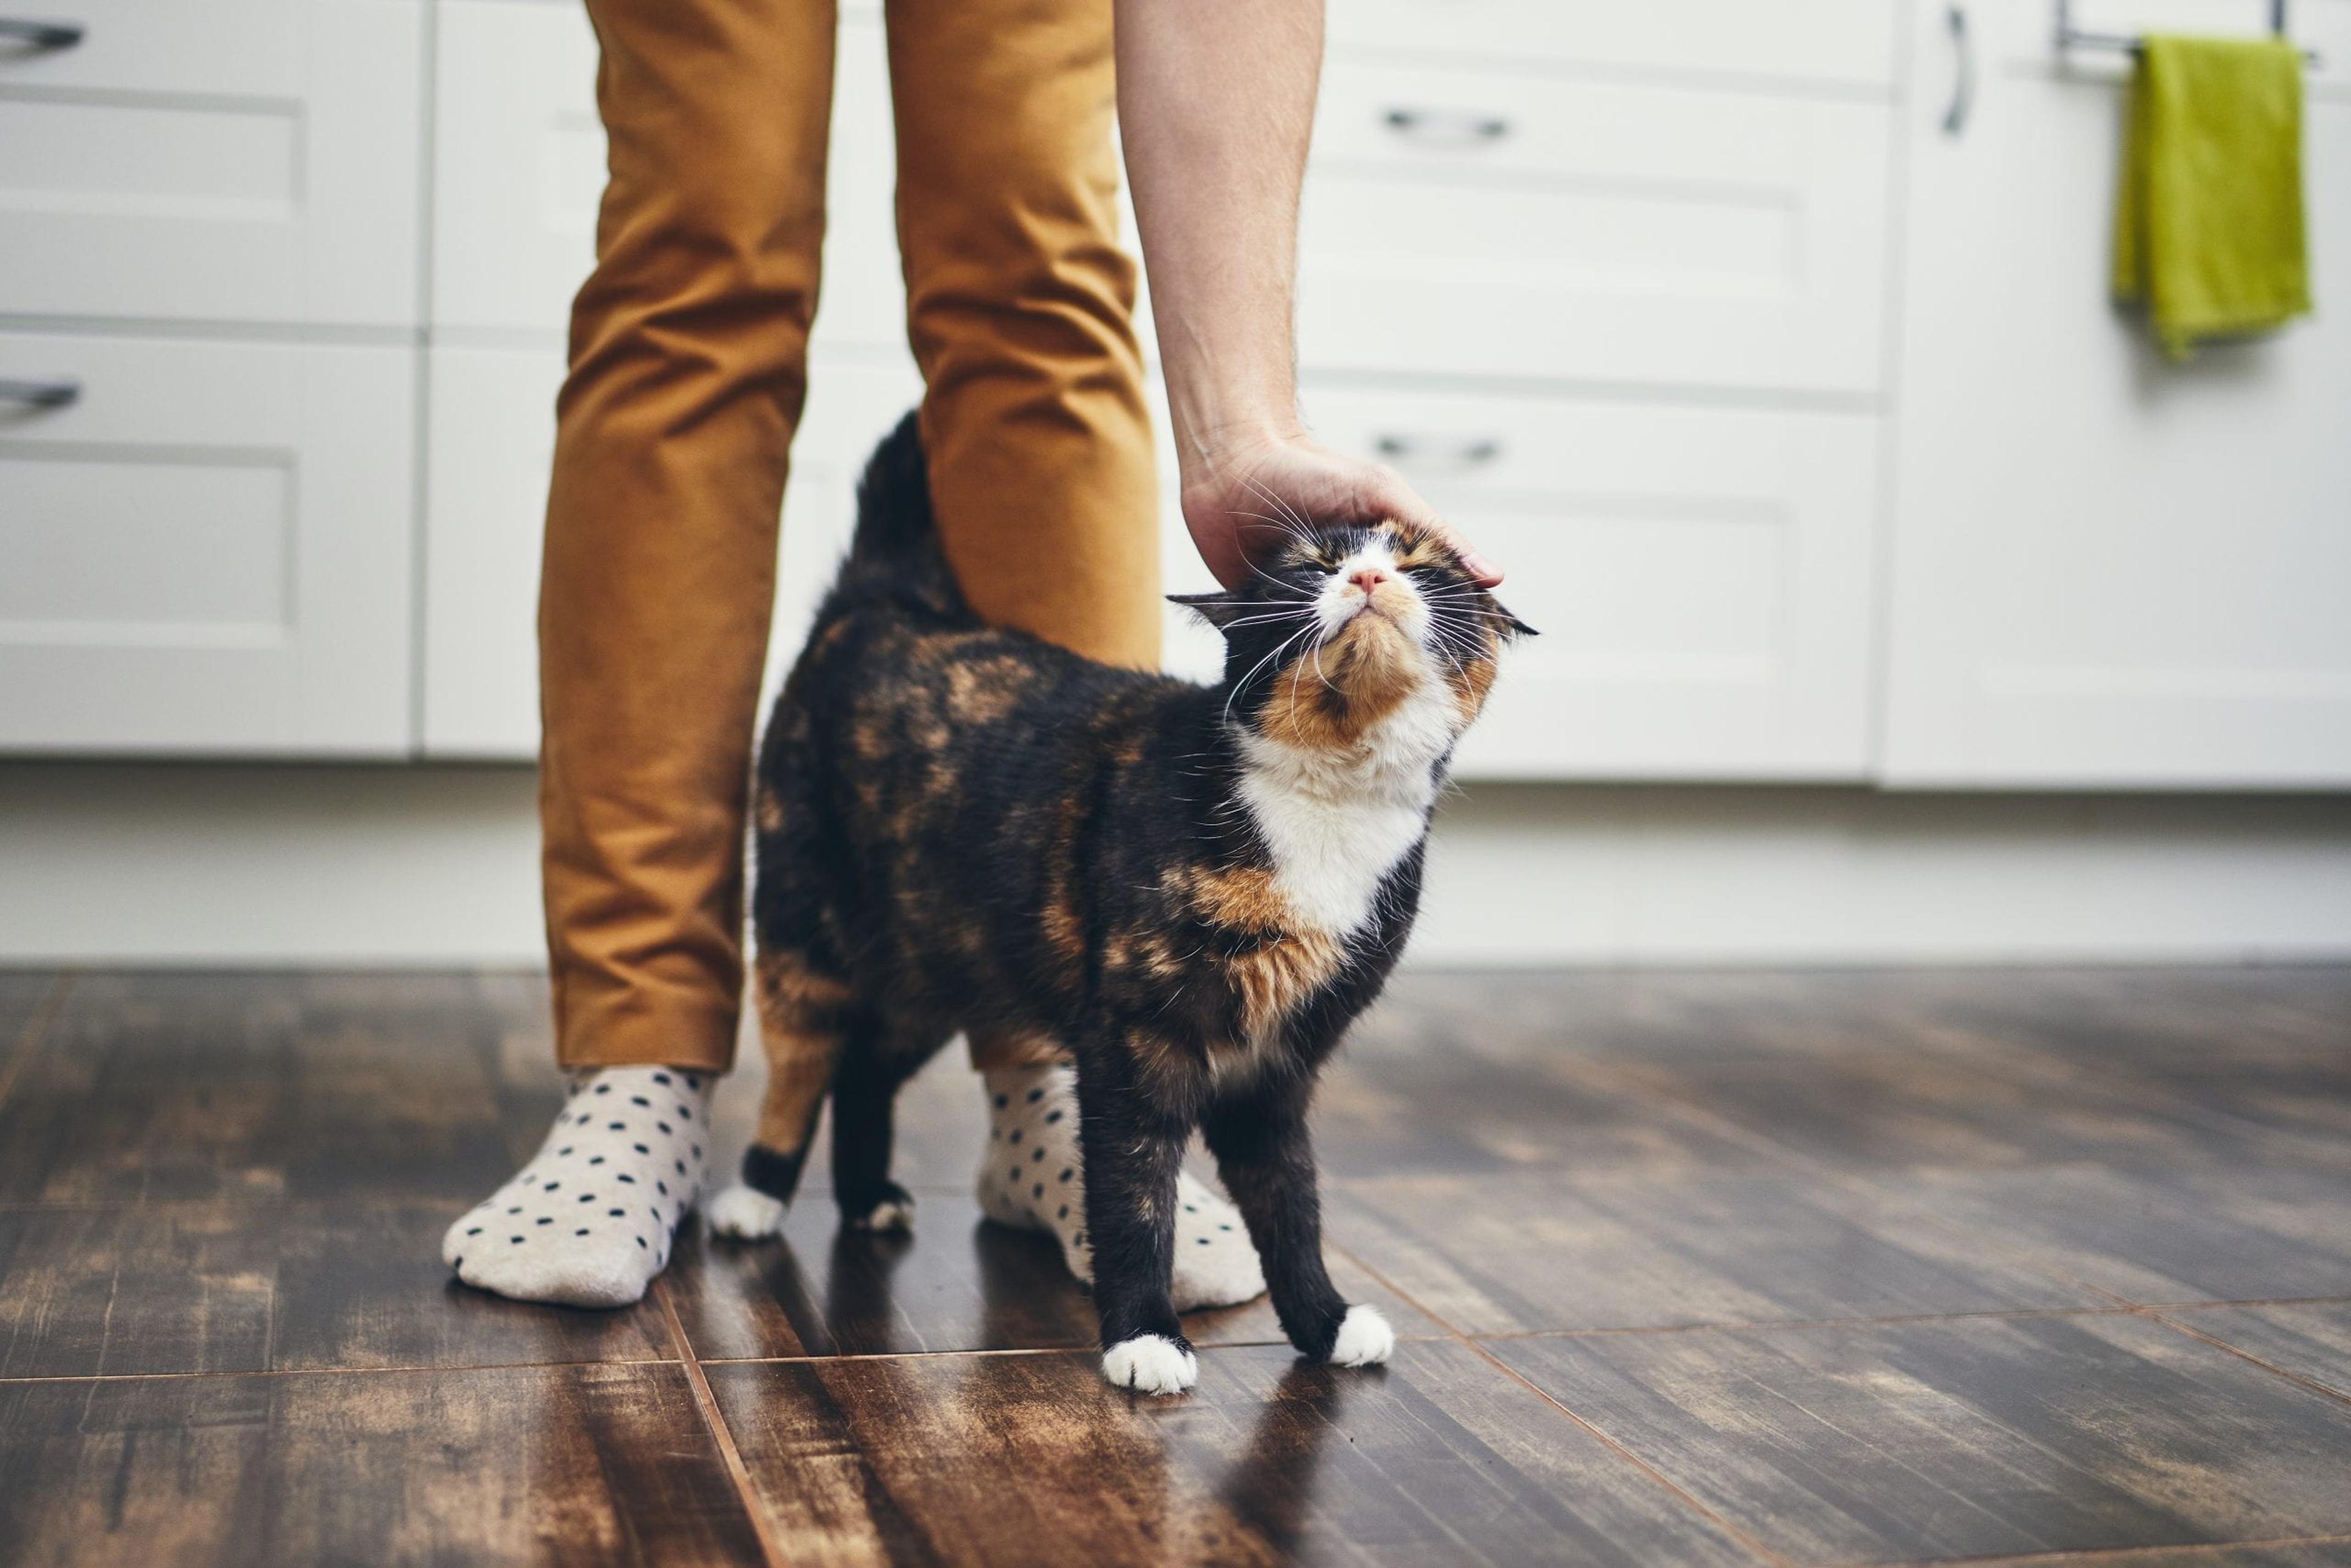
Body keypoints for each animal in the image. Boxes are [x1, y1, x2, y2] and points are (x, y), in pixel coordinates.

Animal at [724, 416, 1523, 1401]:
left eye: (1422, 565)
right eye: (1311, 564)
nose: (1370, 579)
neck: (1327, 804)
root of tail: (884, 602)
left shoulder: (1278, 1066)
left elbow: (1291, 1203)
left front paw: (1325, 1320)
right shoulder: (1136, 1041)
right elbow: (1135, 1196)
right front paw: (1144, 1334)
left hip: (938, 964)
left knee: (867, 1069)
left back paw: (868, 1195)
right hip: (804, 930)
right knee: (803, 1062)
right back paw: (756, 1193)